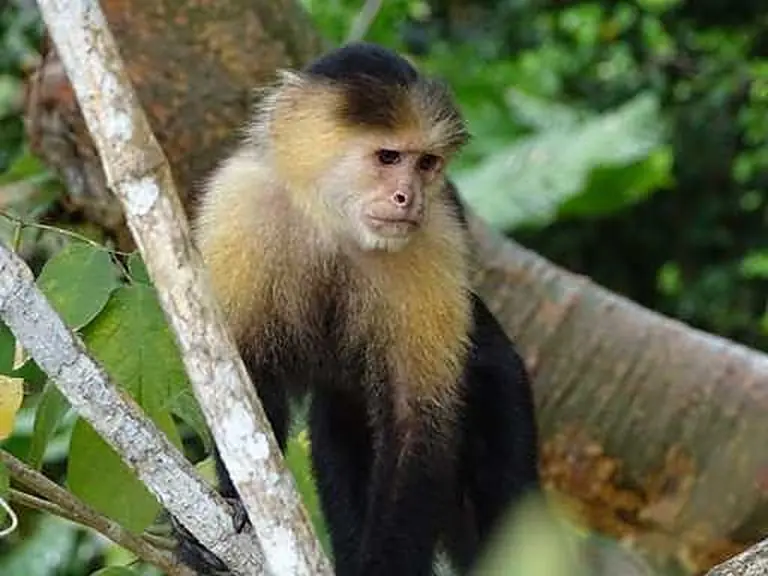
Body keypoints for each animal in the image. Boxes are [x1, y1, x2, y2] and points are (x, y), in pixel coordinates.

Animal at [174, 42, 541, 576]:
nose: (407, 198)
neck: (332, 223)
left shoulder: (435, 238)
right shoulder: (239, 205)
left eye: (426, 163)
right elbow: (241, 382)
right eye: (388, 157)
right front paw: (231, 510)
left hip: (504, 384)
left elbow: (416, 425)